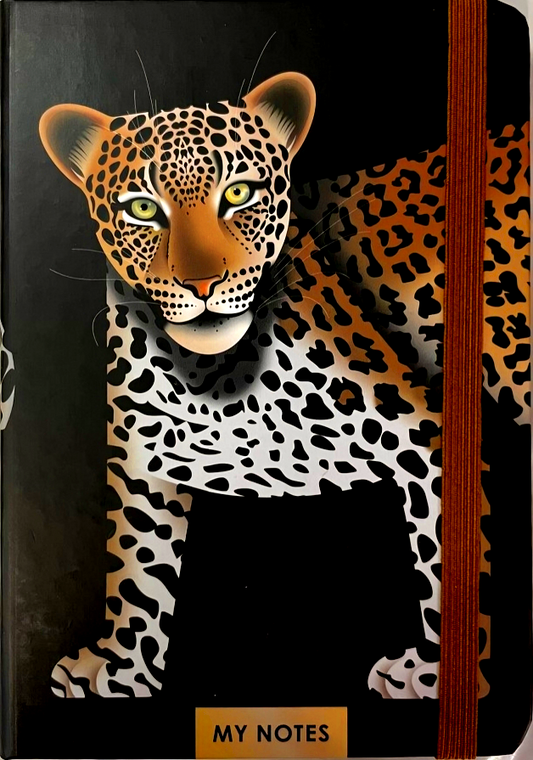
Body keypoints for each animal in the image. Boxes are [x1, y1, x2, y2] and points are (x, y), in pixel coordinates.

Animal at [39, 72, 530, 700]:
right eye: (143, 209)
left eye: (239, 194)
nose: (203, 283)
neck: (213, 380)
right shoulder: (140, 467)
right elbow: (135, 571)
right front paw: (121, 670)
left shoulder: (429, 436)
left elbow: (449, 563)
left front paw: (440, 676)